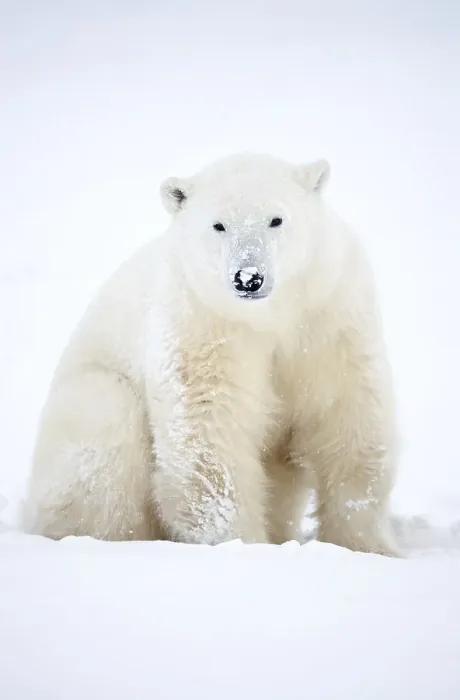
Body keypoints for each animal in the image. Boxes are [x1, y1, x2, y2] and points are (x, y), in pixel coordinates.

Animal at [22, 152, 399, 556]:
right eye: (219, 225)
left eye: (276, 219)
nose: (248, 277)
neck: (270, 316)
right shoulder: (203, 321)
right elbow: (209, 432)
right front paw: (242, 544)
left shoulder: (330, 317)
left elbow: (348, 418)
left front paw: (366, 546)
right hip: (89, 398)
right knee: (106, 436)